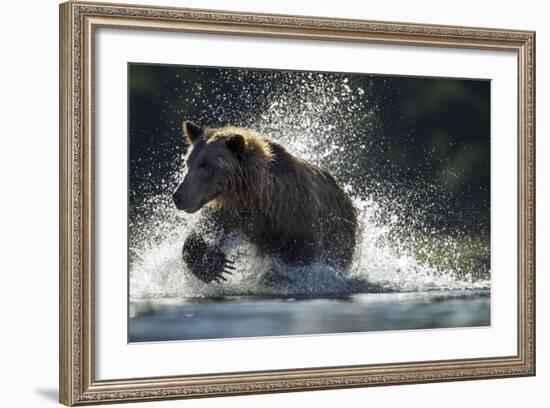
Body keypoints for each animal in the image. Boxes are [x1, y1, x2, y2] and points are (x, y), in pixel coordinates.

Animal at [175, 119, 360, 282]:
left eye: (205, 165)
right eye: (188, 162)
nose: (178, 196)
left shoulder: (294, 219)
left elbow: (300, 259)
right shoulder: (233, 212)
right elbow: (205, 232)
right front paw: (215, 265)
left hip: (340, 234)